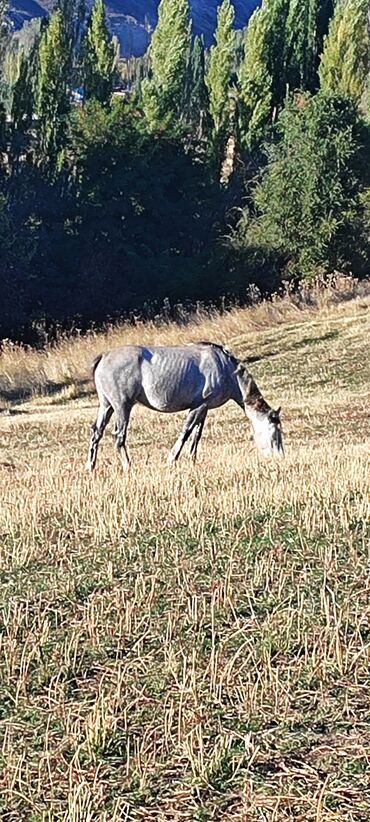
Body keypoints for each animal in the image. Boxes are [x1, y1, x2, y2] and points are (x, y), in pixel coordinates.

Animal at [86, 342, 284, 470]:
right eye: (275, 433)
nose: (280, 458)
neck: (227, 369)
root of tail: (103, 357)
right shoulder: (198, 406)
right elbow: (187, 431)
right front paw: (171, 459)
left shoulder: (204, 408)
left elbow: (197, 434)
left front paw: (193, 460)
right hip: (122, 406)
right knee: (119, 436)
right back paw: (128, 466)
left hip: (107, 406)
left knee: (97, 433)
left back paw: (91, 467)